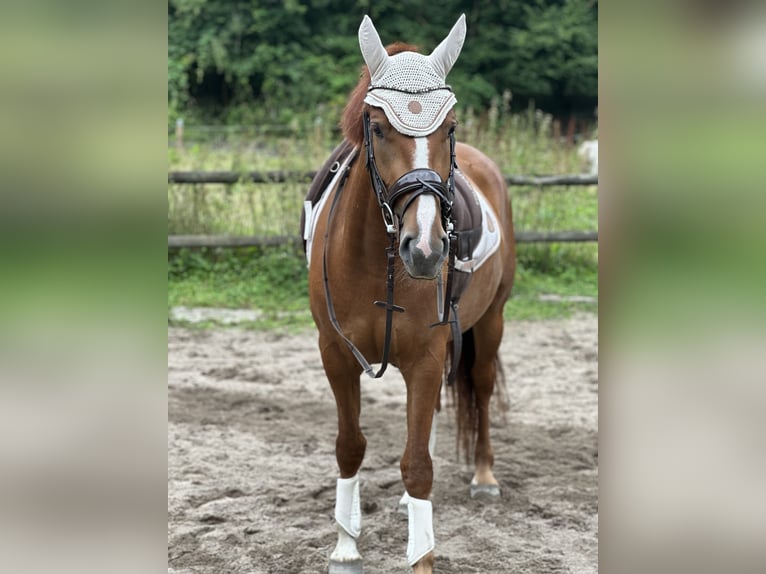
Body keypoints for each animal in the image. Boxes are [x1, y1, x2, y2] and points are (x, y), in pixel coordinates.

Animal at [306, 14, 516, 574]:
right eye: (377, 127)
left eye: (449, 128)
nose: (424, 248)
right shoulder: (335, 353)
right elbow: (350, 445)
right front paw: (345, 546)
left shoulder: (424, 354)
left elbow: (418, 464)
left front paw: (422, 557)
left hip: (491, 321)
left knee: (480, 387)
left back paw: (484, 477)